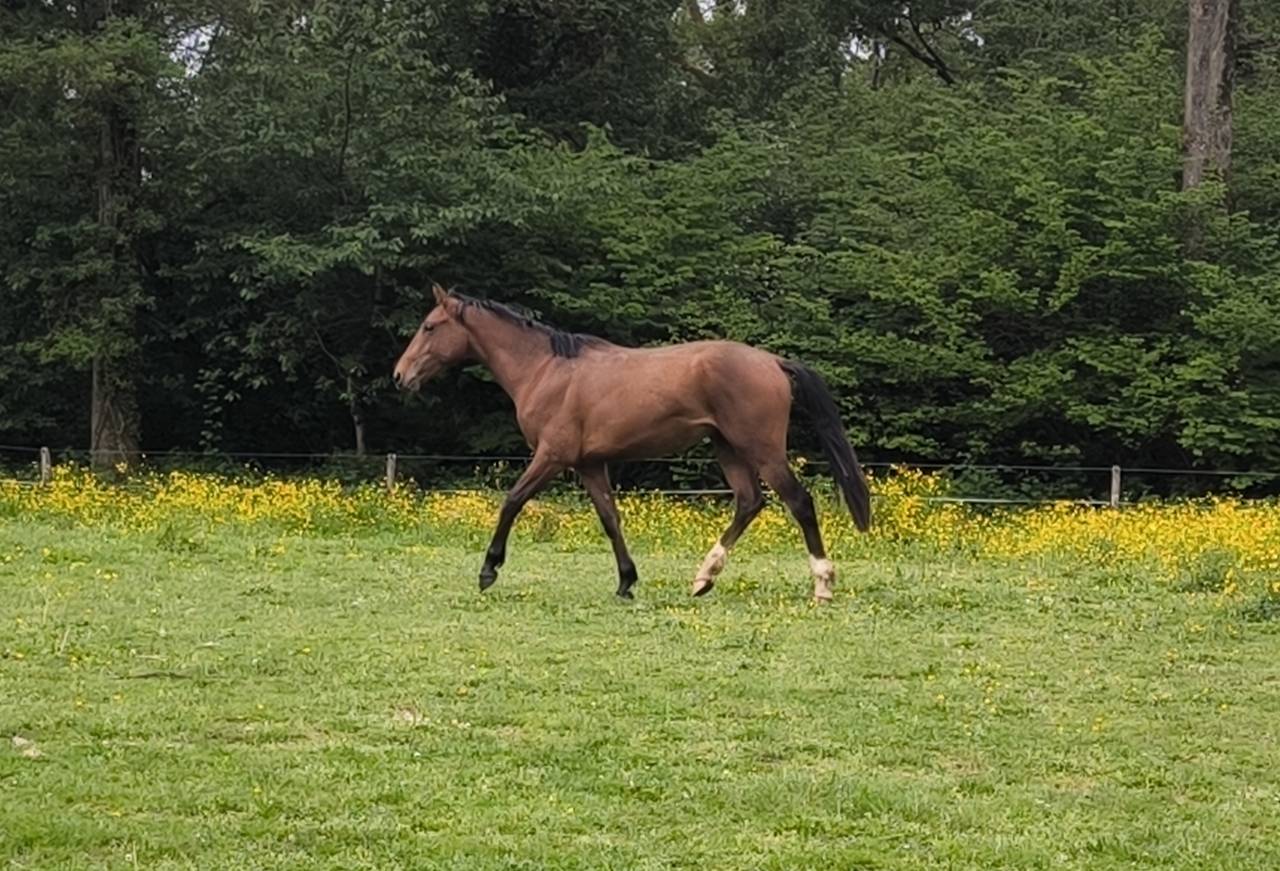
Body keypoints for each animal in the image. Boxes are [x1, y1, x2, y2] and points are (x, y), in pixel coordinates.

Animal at [393, 284, 871, 602]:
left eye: (429, 326)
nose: (401, 375)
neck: (546, 369)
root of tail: (772, 361)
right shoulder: (589, 464)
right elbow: (611, 519)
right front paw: (626, 581)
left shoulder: (551, 456)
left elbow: (511, 501)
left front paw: (488, 570)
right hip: (728, 448)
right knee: (750, 502)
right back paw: (704, 578)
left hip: (761, 449)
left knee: (799, 501)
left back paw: (822, 584)